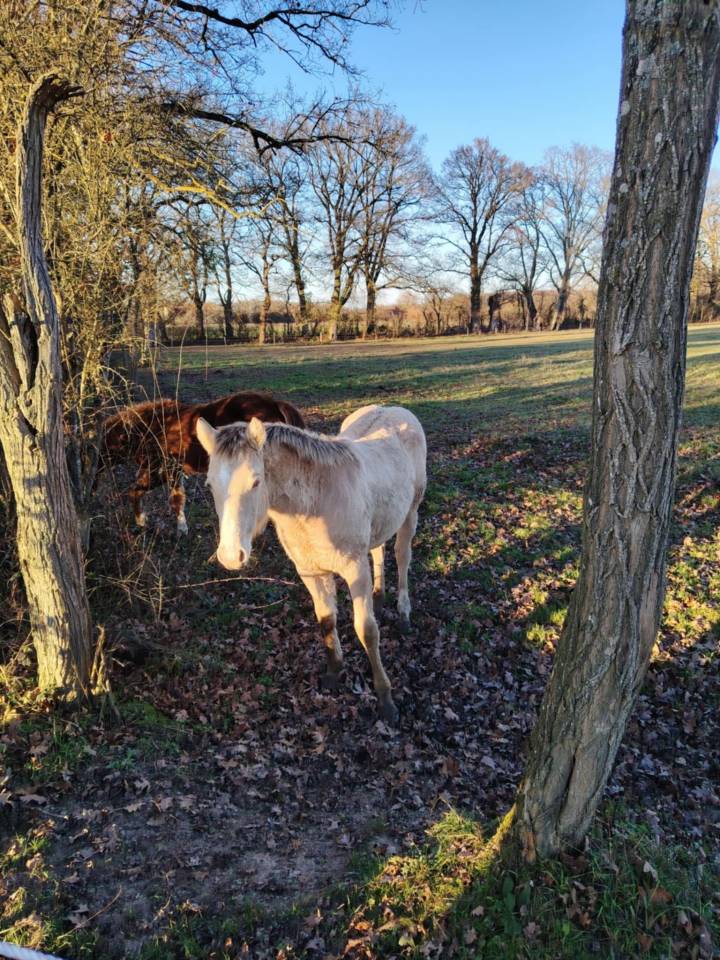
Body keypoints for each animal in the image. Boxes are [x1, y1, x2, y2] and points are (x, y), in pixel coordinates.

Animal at [100, 391, 305, 534]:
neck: (154, 427)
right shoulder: (171, 471)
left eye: (103, 446)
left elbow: (148, 493)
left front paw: (146, 521)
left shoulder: (162, 469)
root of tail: (274, 404)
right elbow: (171, 496)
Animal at [196, 404, 427, 723]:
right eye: (209, 485)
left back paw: (403, 614)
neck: (315, 502)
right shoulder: (310, 572)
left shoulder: (356, 570)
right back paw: (379, 597)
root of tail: (396, 409)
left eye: (256, 481)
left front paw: (385, 699)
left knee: (402, 557)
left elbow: (367, 631)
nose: (231, 556)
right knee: (379, 550)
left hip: (411, 513)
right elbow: (326, 620)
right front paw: (333, 673)